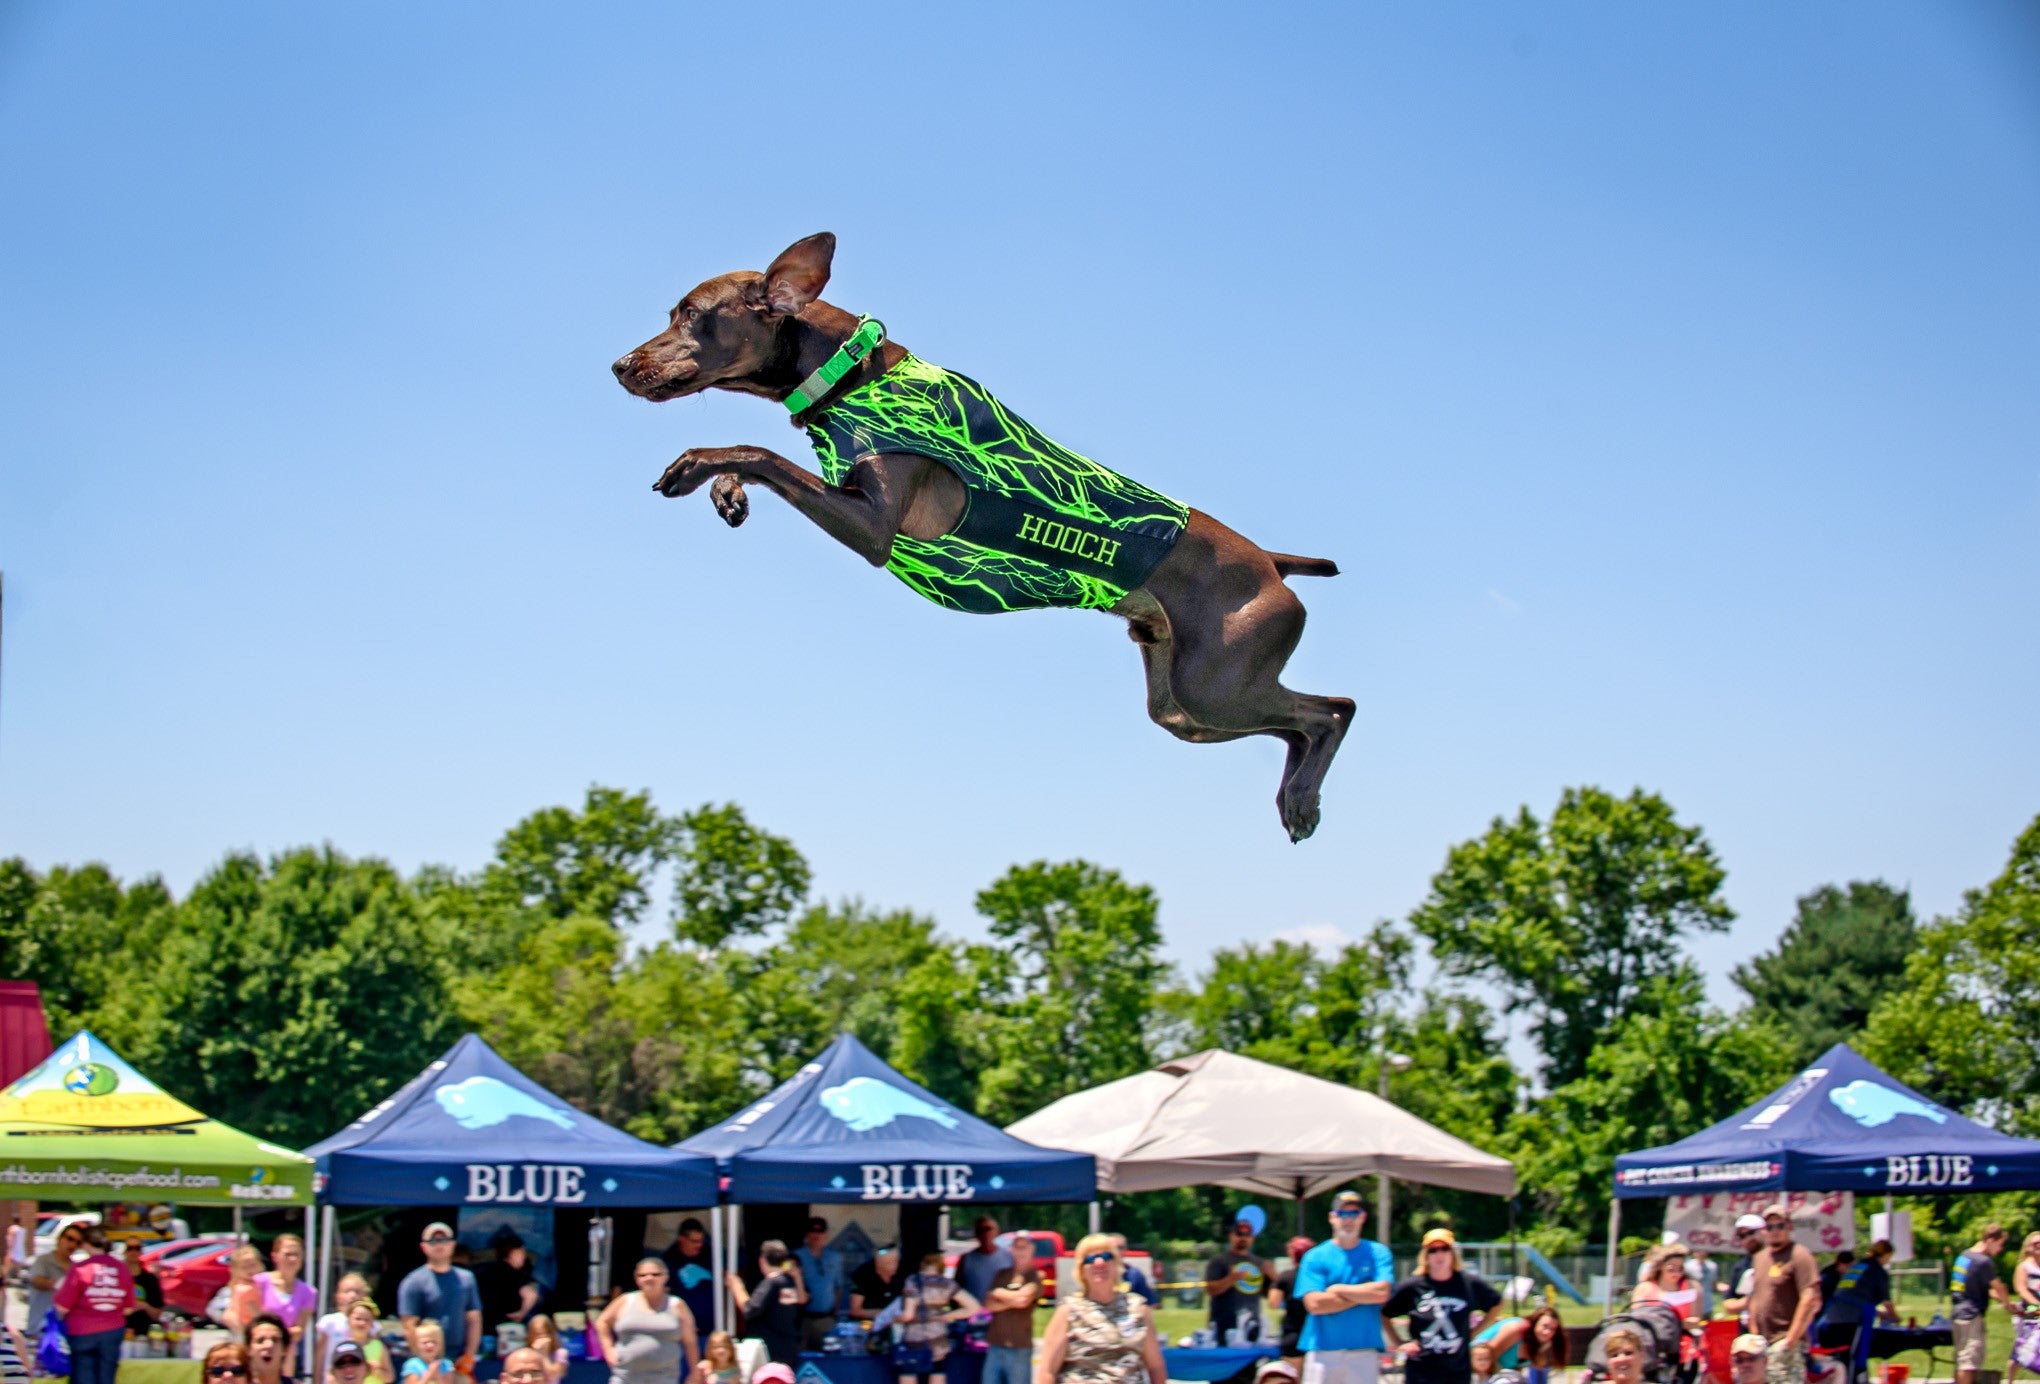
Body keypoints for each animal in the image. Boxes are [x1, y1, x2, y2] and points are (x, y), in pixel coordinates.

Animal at [620, 232, 1354, 841]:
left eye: (691, 315)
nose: (619, 365)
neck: (852, 373)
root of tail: (1273, 565)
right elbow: (760, 460)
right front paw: (727, 490)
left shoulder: (874, 527)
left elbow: (760, 452)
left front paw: (699, 465)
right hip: (1183, 709)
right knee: (1298, 726)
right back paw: (1296, 797)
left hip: (1214, 686)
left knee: (1333, 710)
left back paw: (1302, 803)